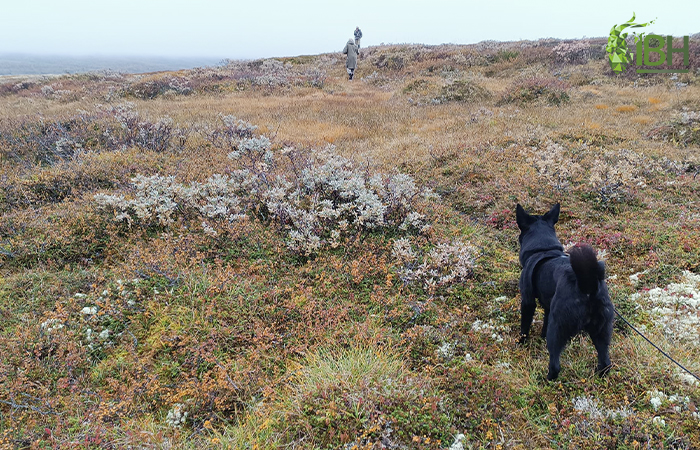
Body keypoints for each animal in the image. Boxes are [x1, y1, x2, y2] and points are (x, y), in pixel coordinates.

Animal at [516, 204, 612, 380]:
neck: (543, 249)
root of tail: (587, 287)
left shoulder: (527, 302)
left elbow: (524, 327)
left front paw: (520, 342)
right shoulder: (548, 307)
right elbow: (544, 323)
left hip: (558, 329)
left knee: (555, 364)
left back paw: (546, 380)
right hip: (602, 331)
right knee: (606, 362)